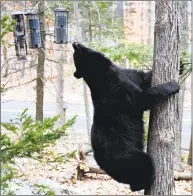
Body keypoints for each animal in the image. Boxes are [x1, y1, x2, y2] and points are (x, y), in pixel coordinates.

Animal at [71, 42, 180, 191]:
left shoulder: (127, 75)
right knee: (144, 166)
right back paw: (148, 181)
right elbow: (142, 98)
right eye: (75, 56)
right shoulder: (118, 91)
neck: (103, 71)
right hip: (128, 157)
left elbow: (144, 78)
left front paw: (181, 63)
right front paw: (172, 85)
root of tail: (104, 166)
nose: (74, 44)